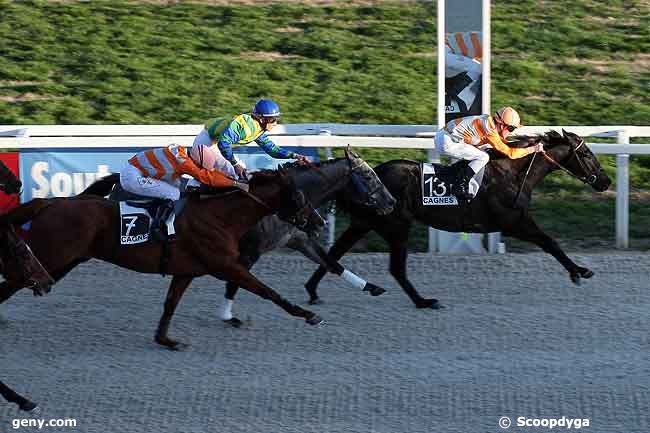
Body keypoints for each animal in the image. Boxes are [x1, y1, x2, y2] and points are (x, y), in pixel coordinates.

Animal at [302, 128, 608, 308]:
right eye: (586, 153)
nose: (605, 181)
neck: (513, 174)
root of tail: (370, 174)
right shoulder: (515, 222)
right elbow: (549, 242)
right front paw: (579, 271)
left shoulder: (515, 222)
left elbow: (549, 242)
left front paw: (578, 270)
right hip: (397, 225)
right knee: (396, 268)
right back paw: (423, 301)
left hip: (365, 223)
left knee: (334, 254)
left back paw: (312, 290)